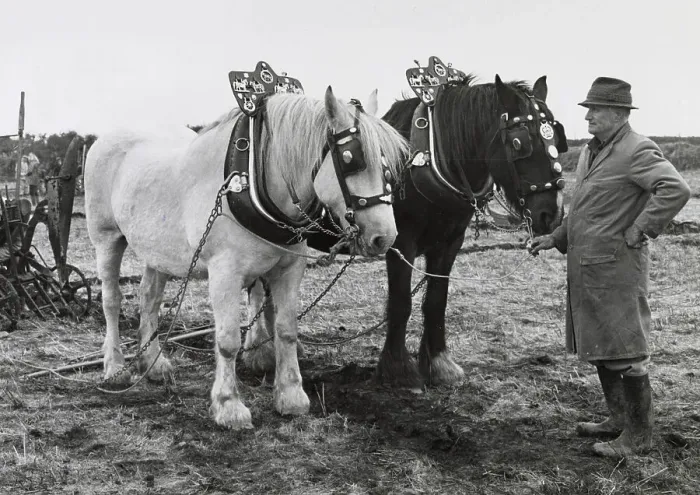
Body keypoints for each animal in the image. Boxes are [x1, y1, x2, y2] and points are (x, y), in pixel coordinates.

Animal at [84, 87, 409, 429]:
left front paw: (291, 396)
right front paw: (228, 405)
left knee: (149, 299)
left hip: (157, 250)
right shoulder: (224, 273)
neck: (253, 177)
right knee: (111, 300)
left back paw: (155, 363)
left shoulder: (289, 268)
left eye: (389, 164)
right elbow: (227, 340)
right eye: (351, 160)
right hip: (107, 239)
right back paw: (115, 367)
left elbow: (286, 329)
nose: (385, 237)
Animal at [243, 74, 568, 390]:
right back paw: (260, 351)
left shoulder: (449, 244)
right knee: (257, 289)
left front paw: (439, 363)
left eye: (557, 135)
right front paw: (399, 371)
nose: (551, 214)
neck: (428, 159)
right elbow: (401, 302)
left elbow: (436, 300)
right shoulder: (400, 242)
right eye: (519, 142)